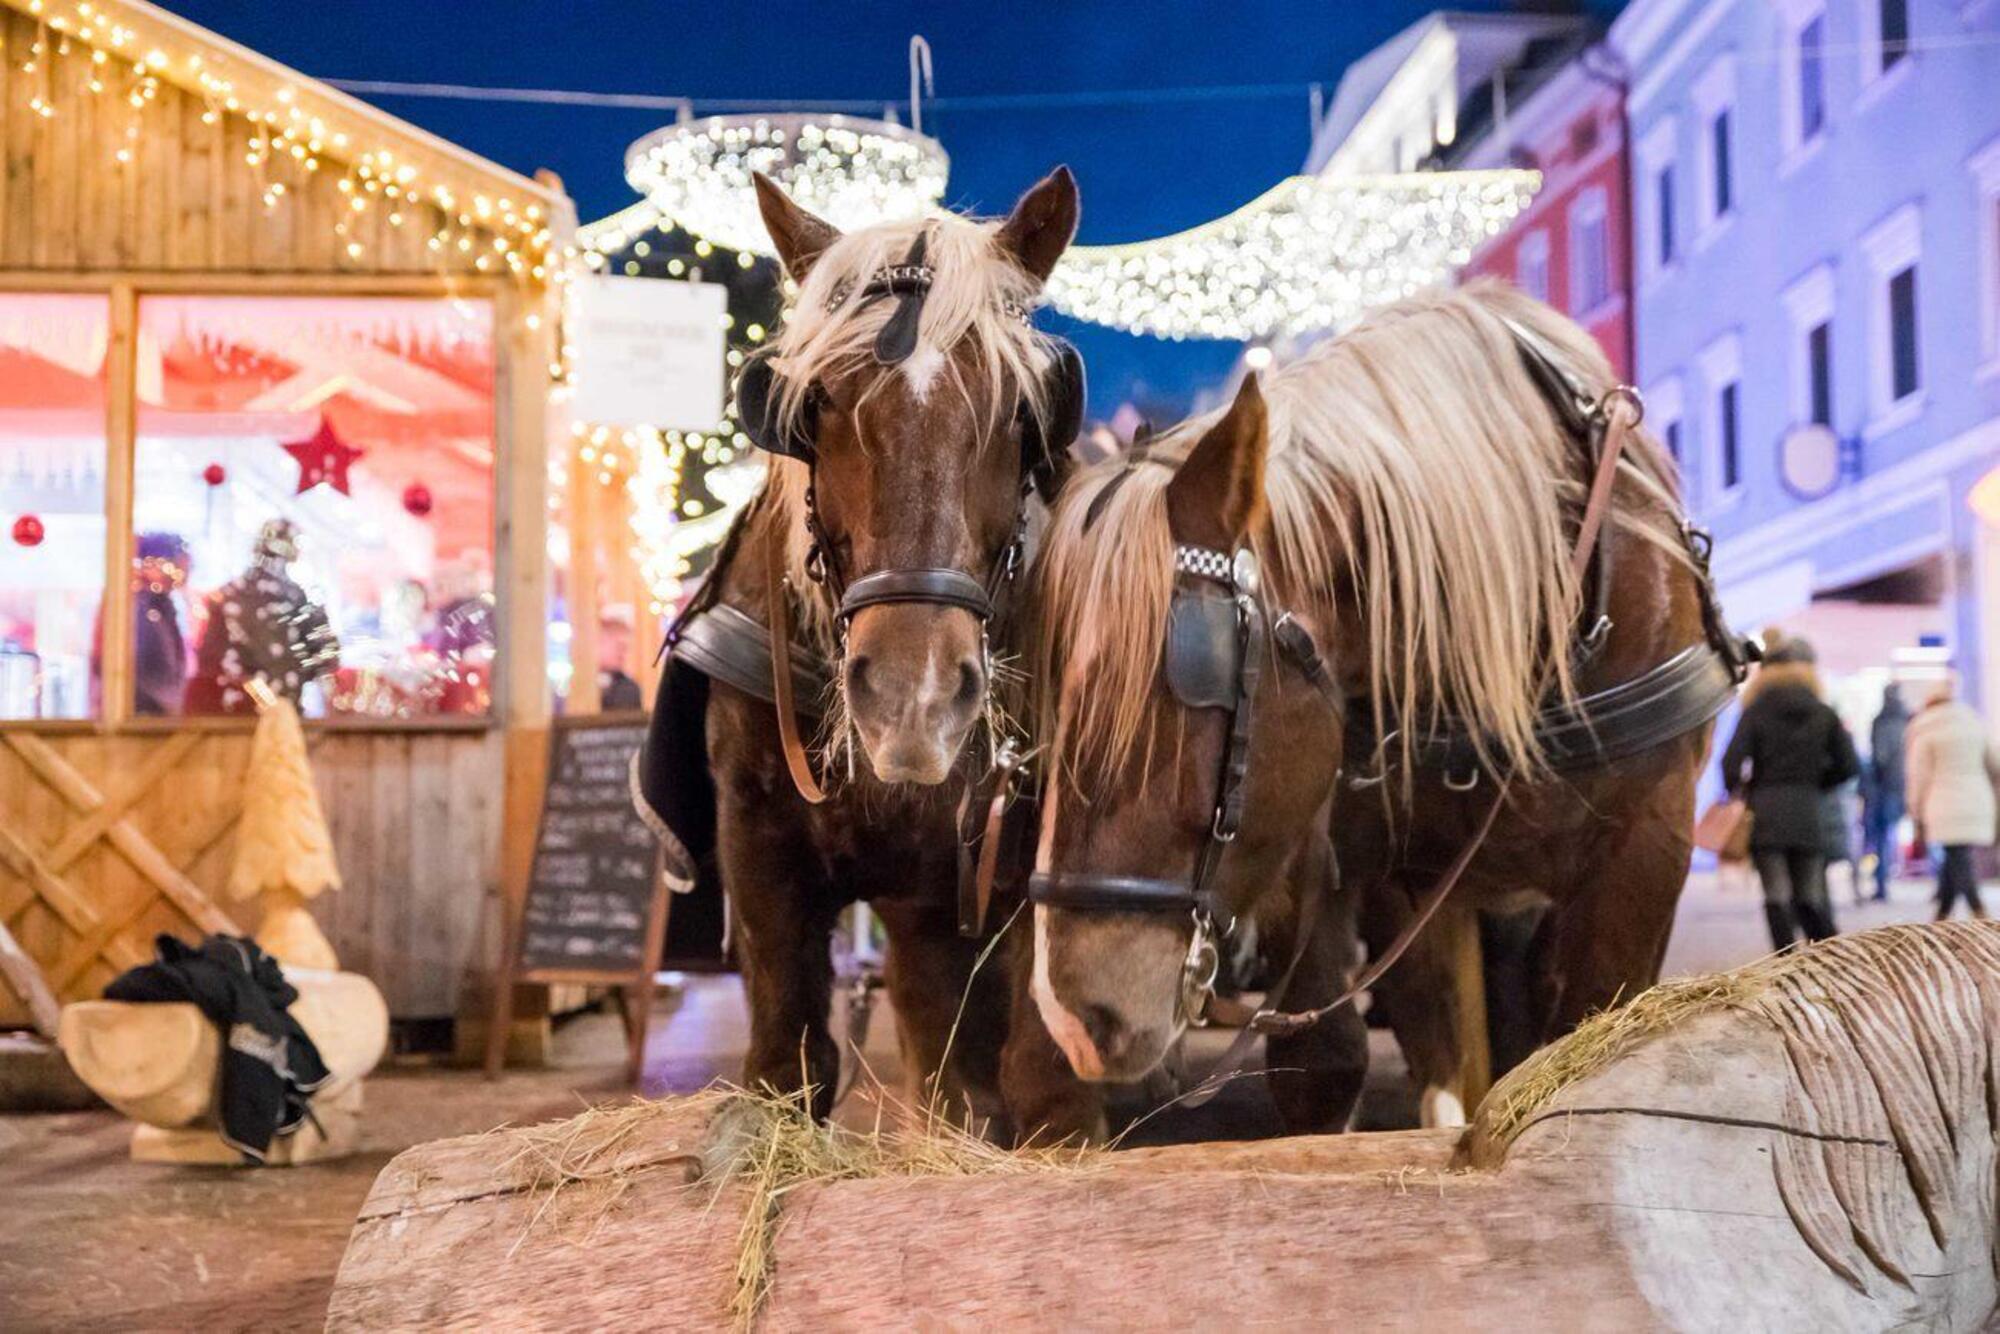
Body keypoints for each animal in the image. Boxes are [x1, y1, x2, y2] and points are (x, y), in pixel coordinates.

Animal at [636, 170, 1080, 1128]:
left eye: (1019, 412)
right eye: (819, 403)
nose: (914, 699)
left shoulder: (963, 889)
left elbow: (969, 1087)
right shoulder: (761, 859)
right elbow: (787, 1061)